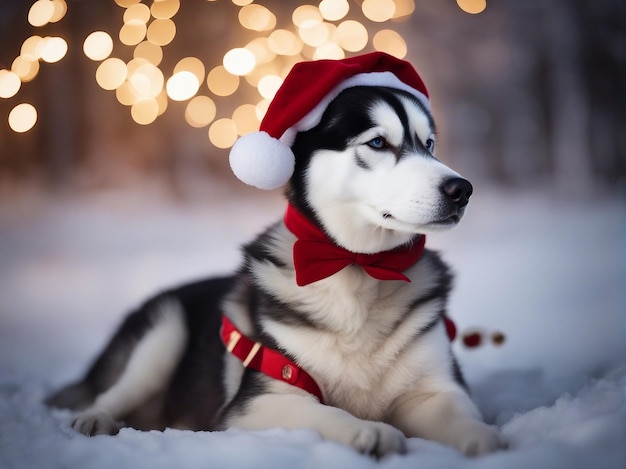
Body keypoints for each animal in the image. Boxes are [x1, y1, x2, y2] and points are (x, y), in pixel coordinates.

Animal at [50, 53, 508, 456]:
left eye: (429, 145)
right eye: (378, 142)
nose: (461, 189)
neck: (357, 269)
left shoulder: (435, 389)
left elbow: (462, 417)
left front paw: (489, 440)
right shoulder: (260, 401)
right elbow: (327, 414)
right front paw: (369, 431)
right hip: (163, 333)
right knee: (114, 391)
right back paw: (95, 418)